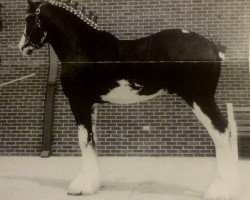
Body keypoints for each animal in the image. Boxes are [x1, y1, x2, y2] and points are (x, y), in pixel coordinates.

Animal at [18, 0, 239, 199]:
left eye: (29, 18)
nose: (22, 47)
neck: (81, 46)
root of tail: (214, 48)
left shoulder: (78, 102)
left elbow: (83, 140)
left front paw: (81, 187)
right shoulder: (91, 104)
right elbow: (92, 139)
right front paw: (94, 184)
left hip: (200, 99)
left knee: (221, 132)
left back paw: (218, 190)